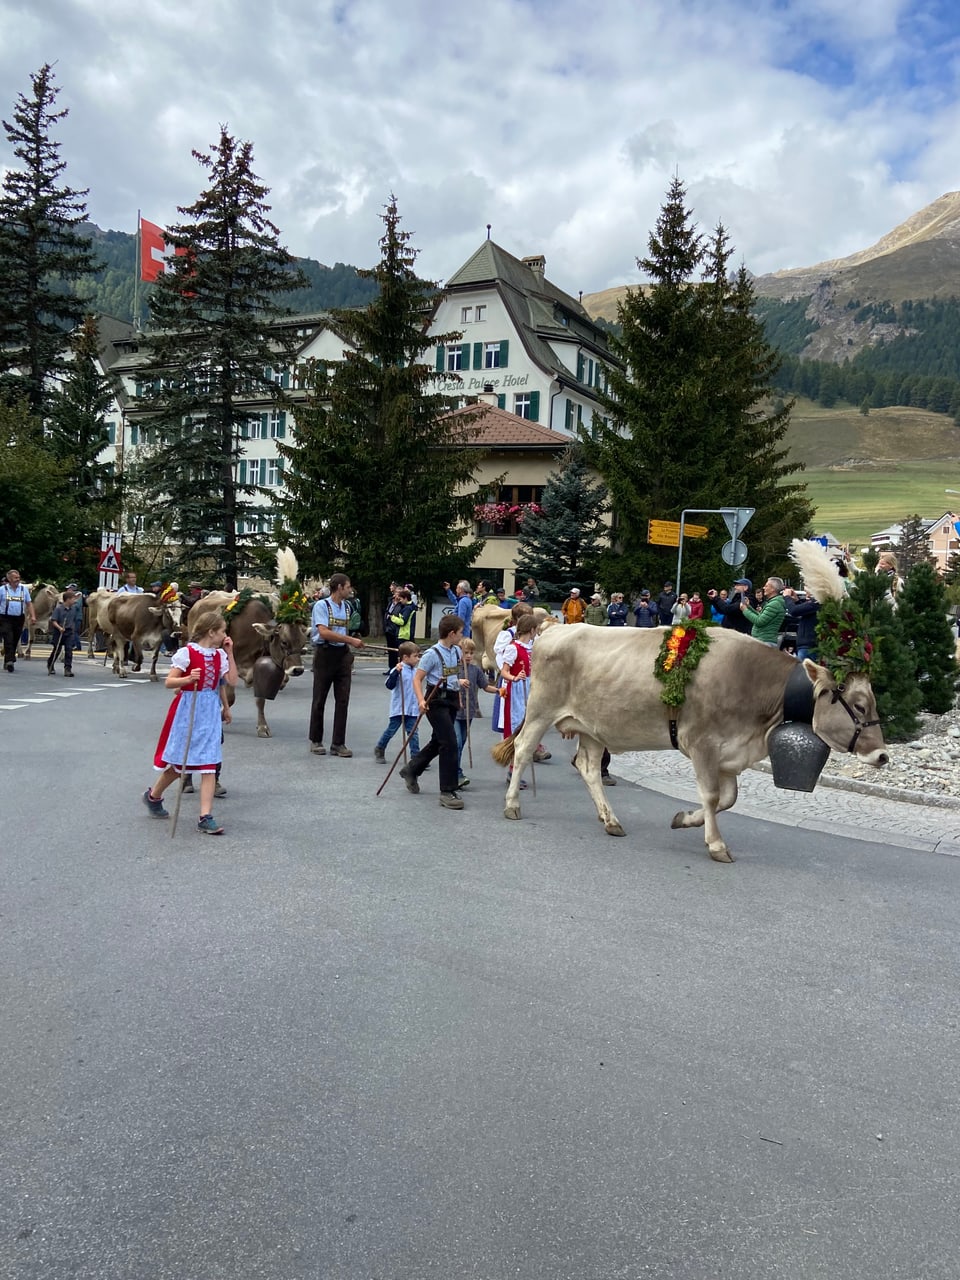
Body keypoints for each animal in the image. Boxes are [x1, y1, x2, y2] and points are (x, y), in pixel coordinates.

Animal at [499, 624, 890, 865]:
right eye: (859, 706)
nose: (883, 755)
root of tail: (555, 627)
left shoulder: (729, 753)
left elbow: (728, 799)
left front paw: (684, 819)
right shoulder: (702, 742)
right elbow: (713, 796)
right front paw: (716, 844)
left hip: (593, 728)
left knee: (588, 767)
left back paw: (610, 820)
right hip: (541, 710)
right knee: (523, 750)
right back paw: (512, 805)